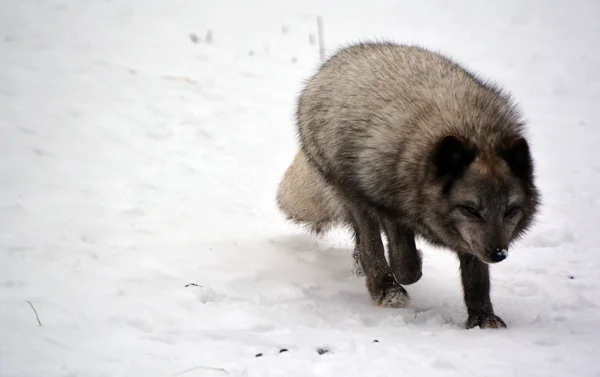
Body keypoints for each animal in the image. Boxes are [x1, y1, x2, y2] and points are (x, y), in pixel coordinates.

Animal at [276, 41, 540, 328]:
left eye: (510, 210)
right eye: (471, 209)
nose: (499, 254)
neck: (473, 131)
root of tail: (339, 58)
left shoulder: (470, 240)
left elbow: (477, 277)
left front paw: (483, 319)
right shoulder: (388, 202)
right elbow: (405, 264)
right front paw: (398, 278)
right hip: (351, 191)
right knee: (369, 244)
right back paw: (385, 288)